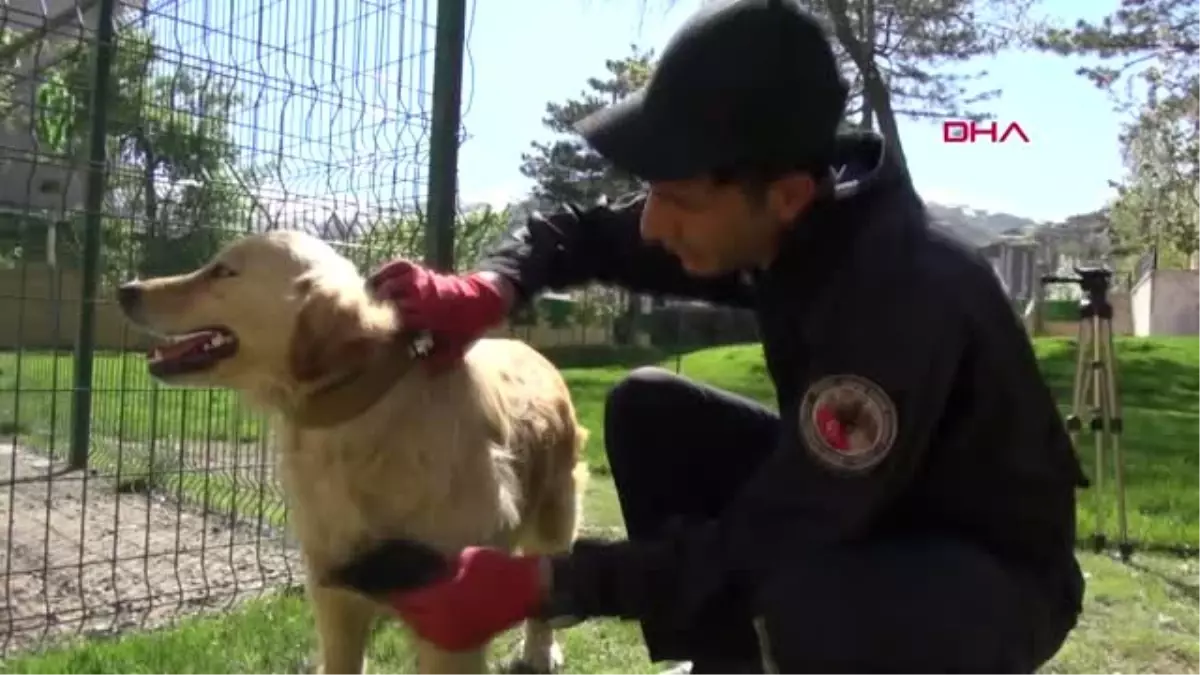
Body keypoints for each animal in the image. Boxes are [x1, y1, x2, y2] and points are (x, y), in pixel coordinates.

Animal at [119, 229, 588, 672]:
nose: (126, 289)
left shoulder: (451, 618)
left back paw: (540, 652)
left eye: (224, 271)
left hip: (556, 516)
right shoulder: (336, 597)